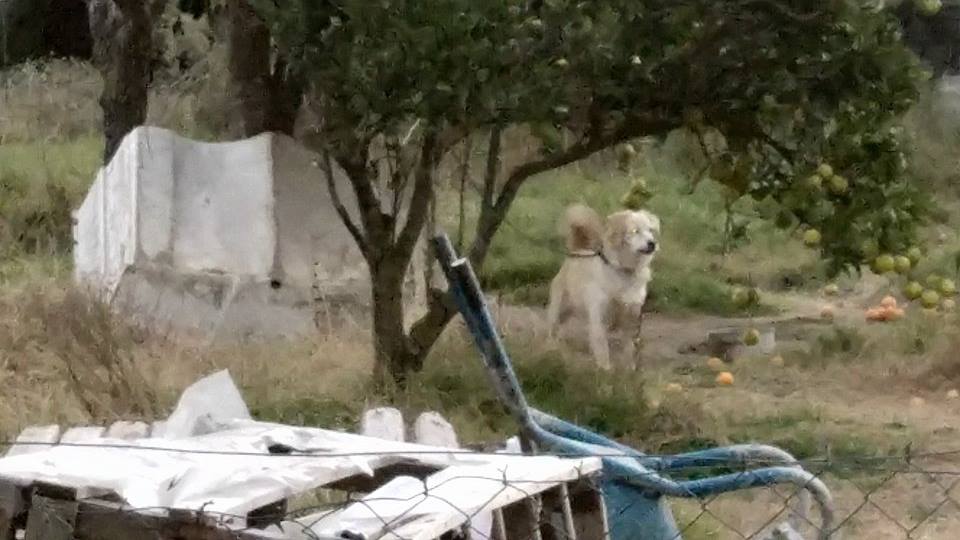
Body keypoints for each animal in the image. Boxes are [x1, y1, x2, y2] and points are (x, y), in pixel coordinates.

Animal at [546, 204, 660, 370]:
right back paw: (550, 348)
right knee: (552, 328)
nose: (652, 243)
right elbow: (602, 346)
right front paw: (605, 370)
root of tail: (578, 251)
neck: (625, 271)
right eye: (635, 231)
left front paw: (629, 369)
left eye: (650, 231)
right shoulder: (599, 316)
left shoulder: (631, 317)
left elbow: (629, 348)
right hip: (560, 308)